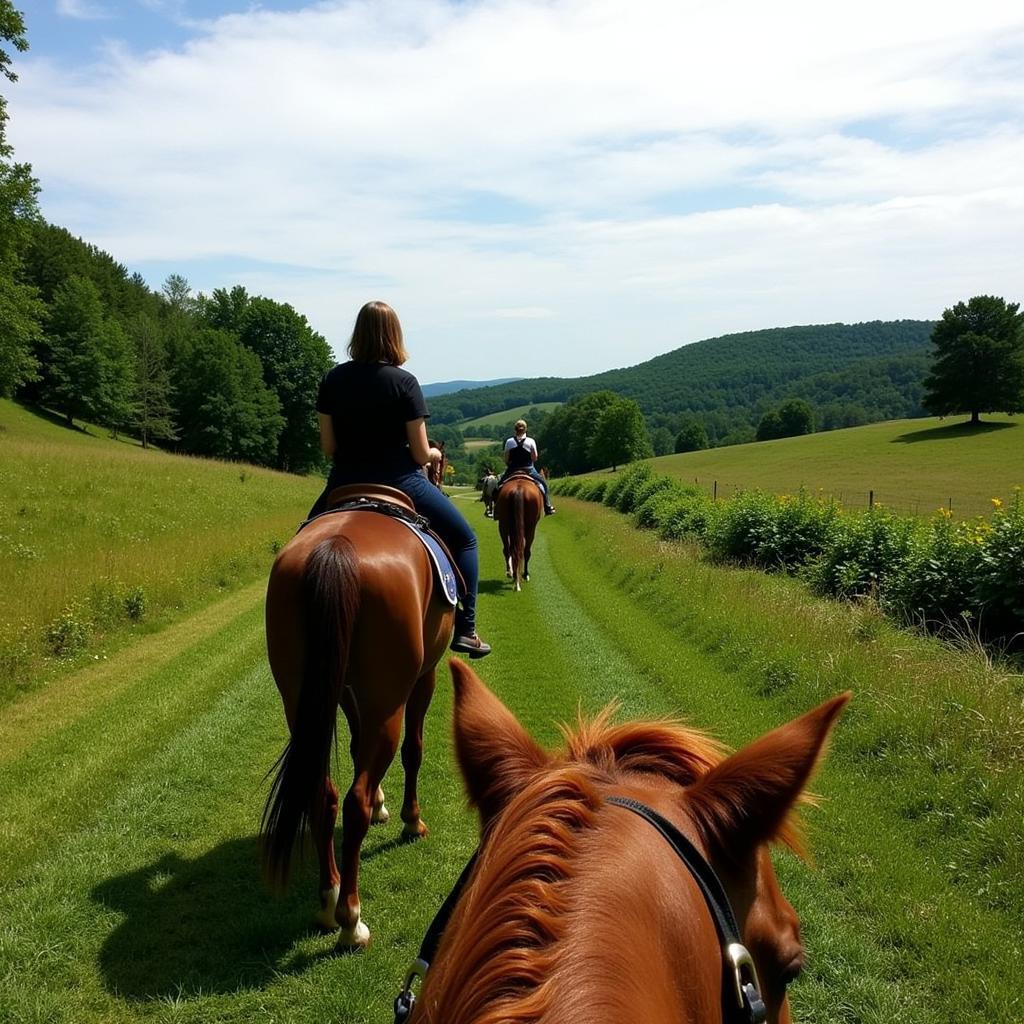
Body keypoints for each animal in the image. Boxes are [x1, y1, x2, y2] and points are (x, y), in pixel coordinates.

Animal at [262, 483, 454, 946]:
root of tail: (336, 550)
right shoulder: (425, 678)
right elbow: (414, 750)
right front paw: (409, 820)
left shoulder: (345, 691)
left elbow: (353, 746)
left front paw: (387, 805)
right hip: (388, 701)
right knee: (355, 801)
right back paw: (351, 918)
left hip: (300, 698)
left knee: (323, 792)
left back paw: (329, 900)